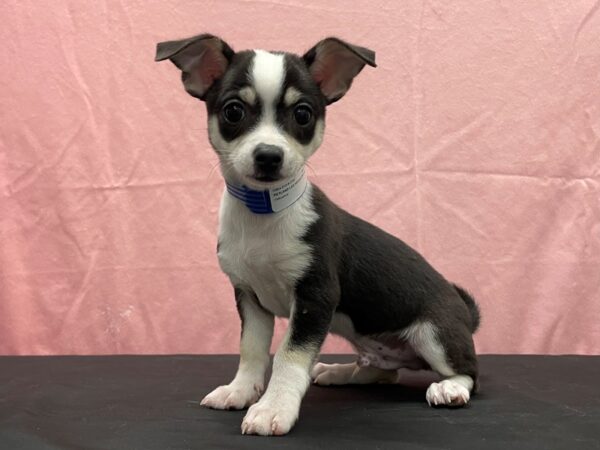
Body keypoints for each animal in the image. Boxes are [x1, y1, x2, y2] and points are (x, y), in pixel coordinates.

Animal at [155, 34, 478, 436]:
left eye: (303, 115)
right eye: (233, 112)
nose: (268, 155)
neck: (262, 214)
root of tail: (465, 312)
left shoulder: (315, 298)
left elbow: (289, 356)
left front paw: (273, 407)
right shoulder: (250, 298)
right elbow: (252, 350)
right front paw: (241, 390)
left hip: (433, 334)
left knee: (468, 372)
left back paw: (449, 388)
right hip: (377, 344)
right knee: (382, 372)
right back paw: (339, 371)